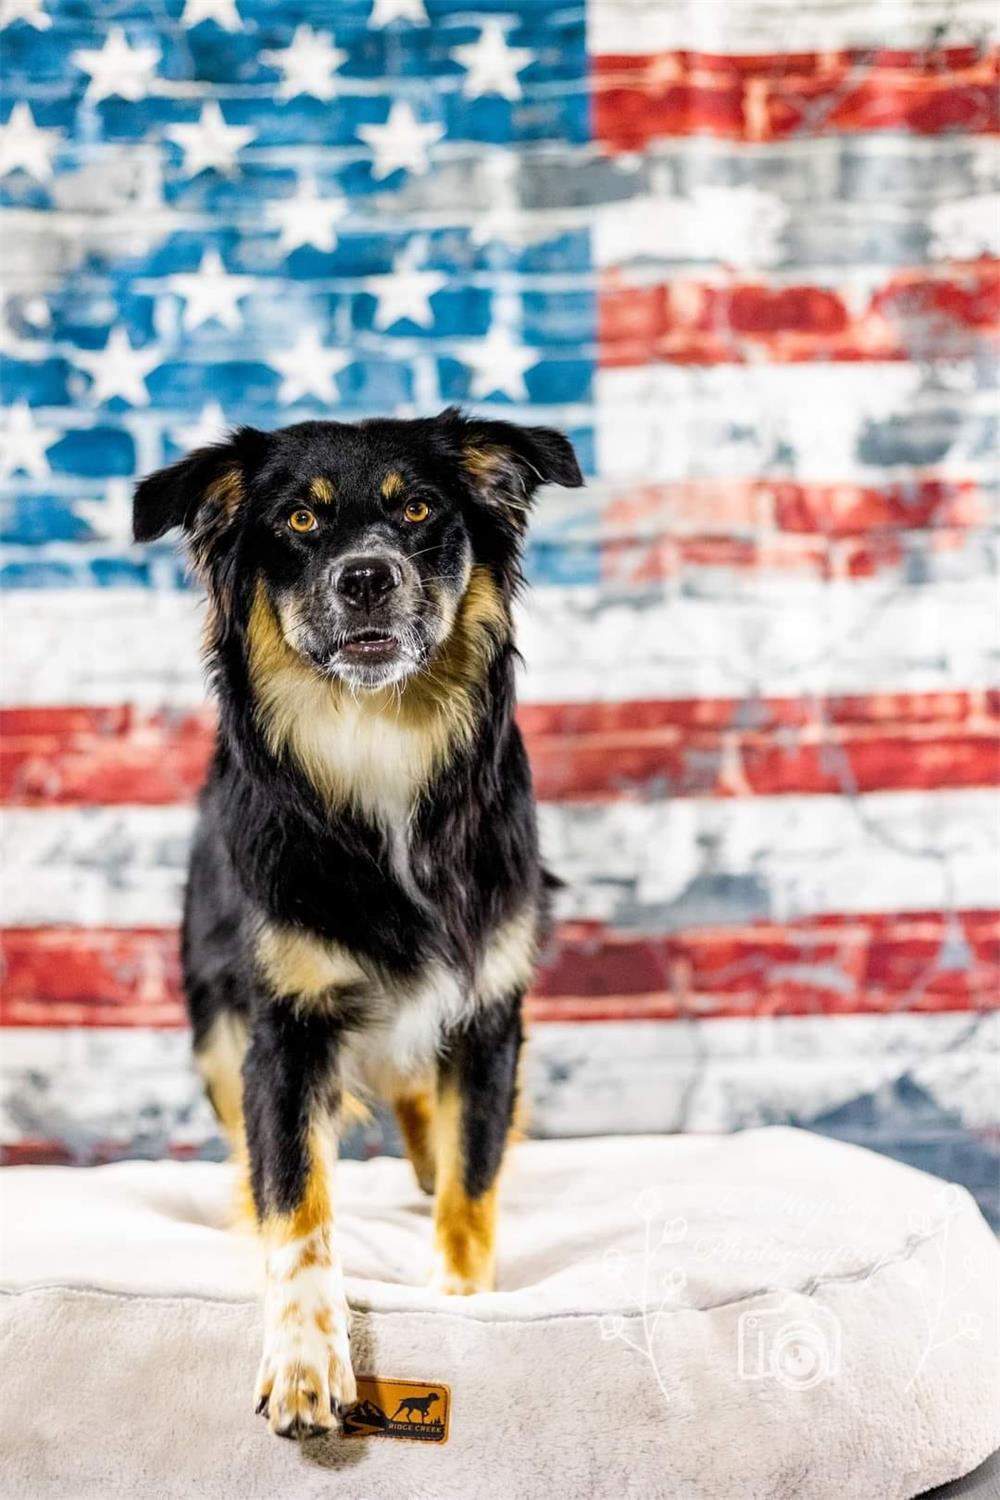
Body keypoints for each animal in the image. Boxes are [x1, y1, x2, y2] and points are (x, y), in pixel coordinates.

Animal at [132, 411, 587, 1440]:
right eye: (301, 520)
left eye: (416, 509)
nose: (367, 576)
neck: (378, 743)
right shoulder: (283, 1034)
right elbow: (298, 1204)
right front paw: (305, 1363)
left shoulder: (488, 1011)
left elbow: (472, 1180)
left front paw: (462, 1298)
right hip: (214, 1026)